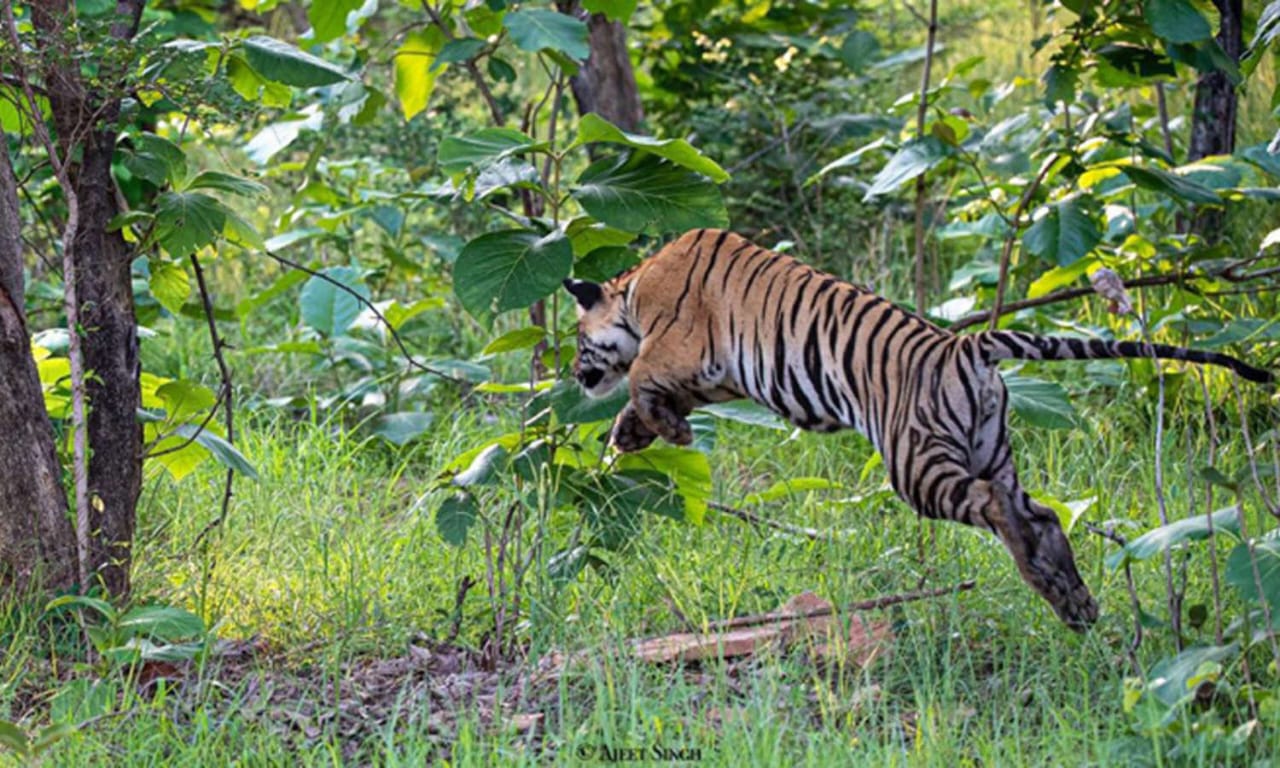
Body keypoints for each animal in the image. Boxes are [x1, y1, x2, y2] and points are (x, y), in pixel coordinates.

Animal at [565, 227, 1274, 629]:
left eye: (575, 340)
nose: (574, 374)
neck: (635, 288)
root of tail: (969, 346)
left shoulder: (679, 346)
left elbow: (642, 378)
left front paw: (658, 431)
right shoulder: (718, 374)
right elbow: (654, 395)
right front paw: (634, 435)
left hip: (917, 464)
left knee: (998, 508)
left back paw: (1053, 589)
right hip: (991, 451)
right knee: (1041, 513)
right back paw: (1073, 601)